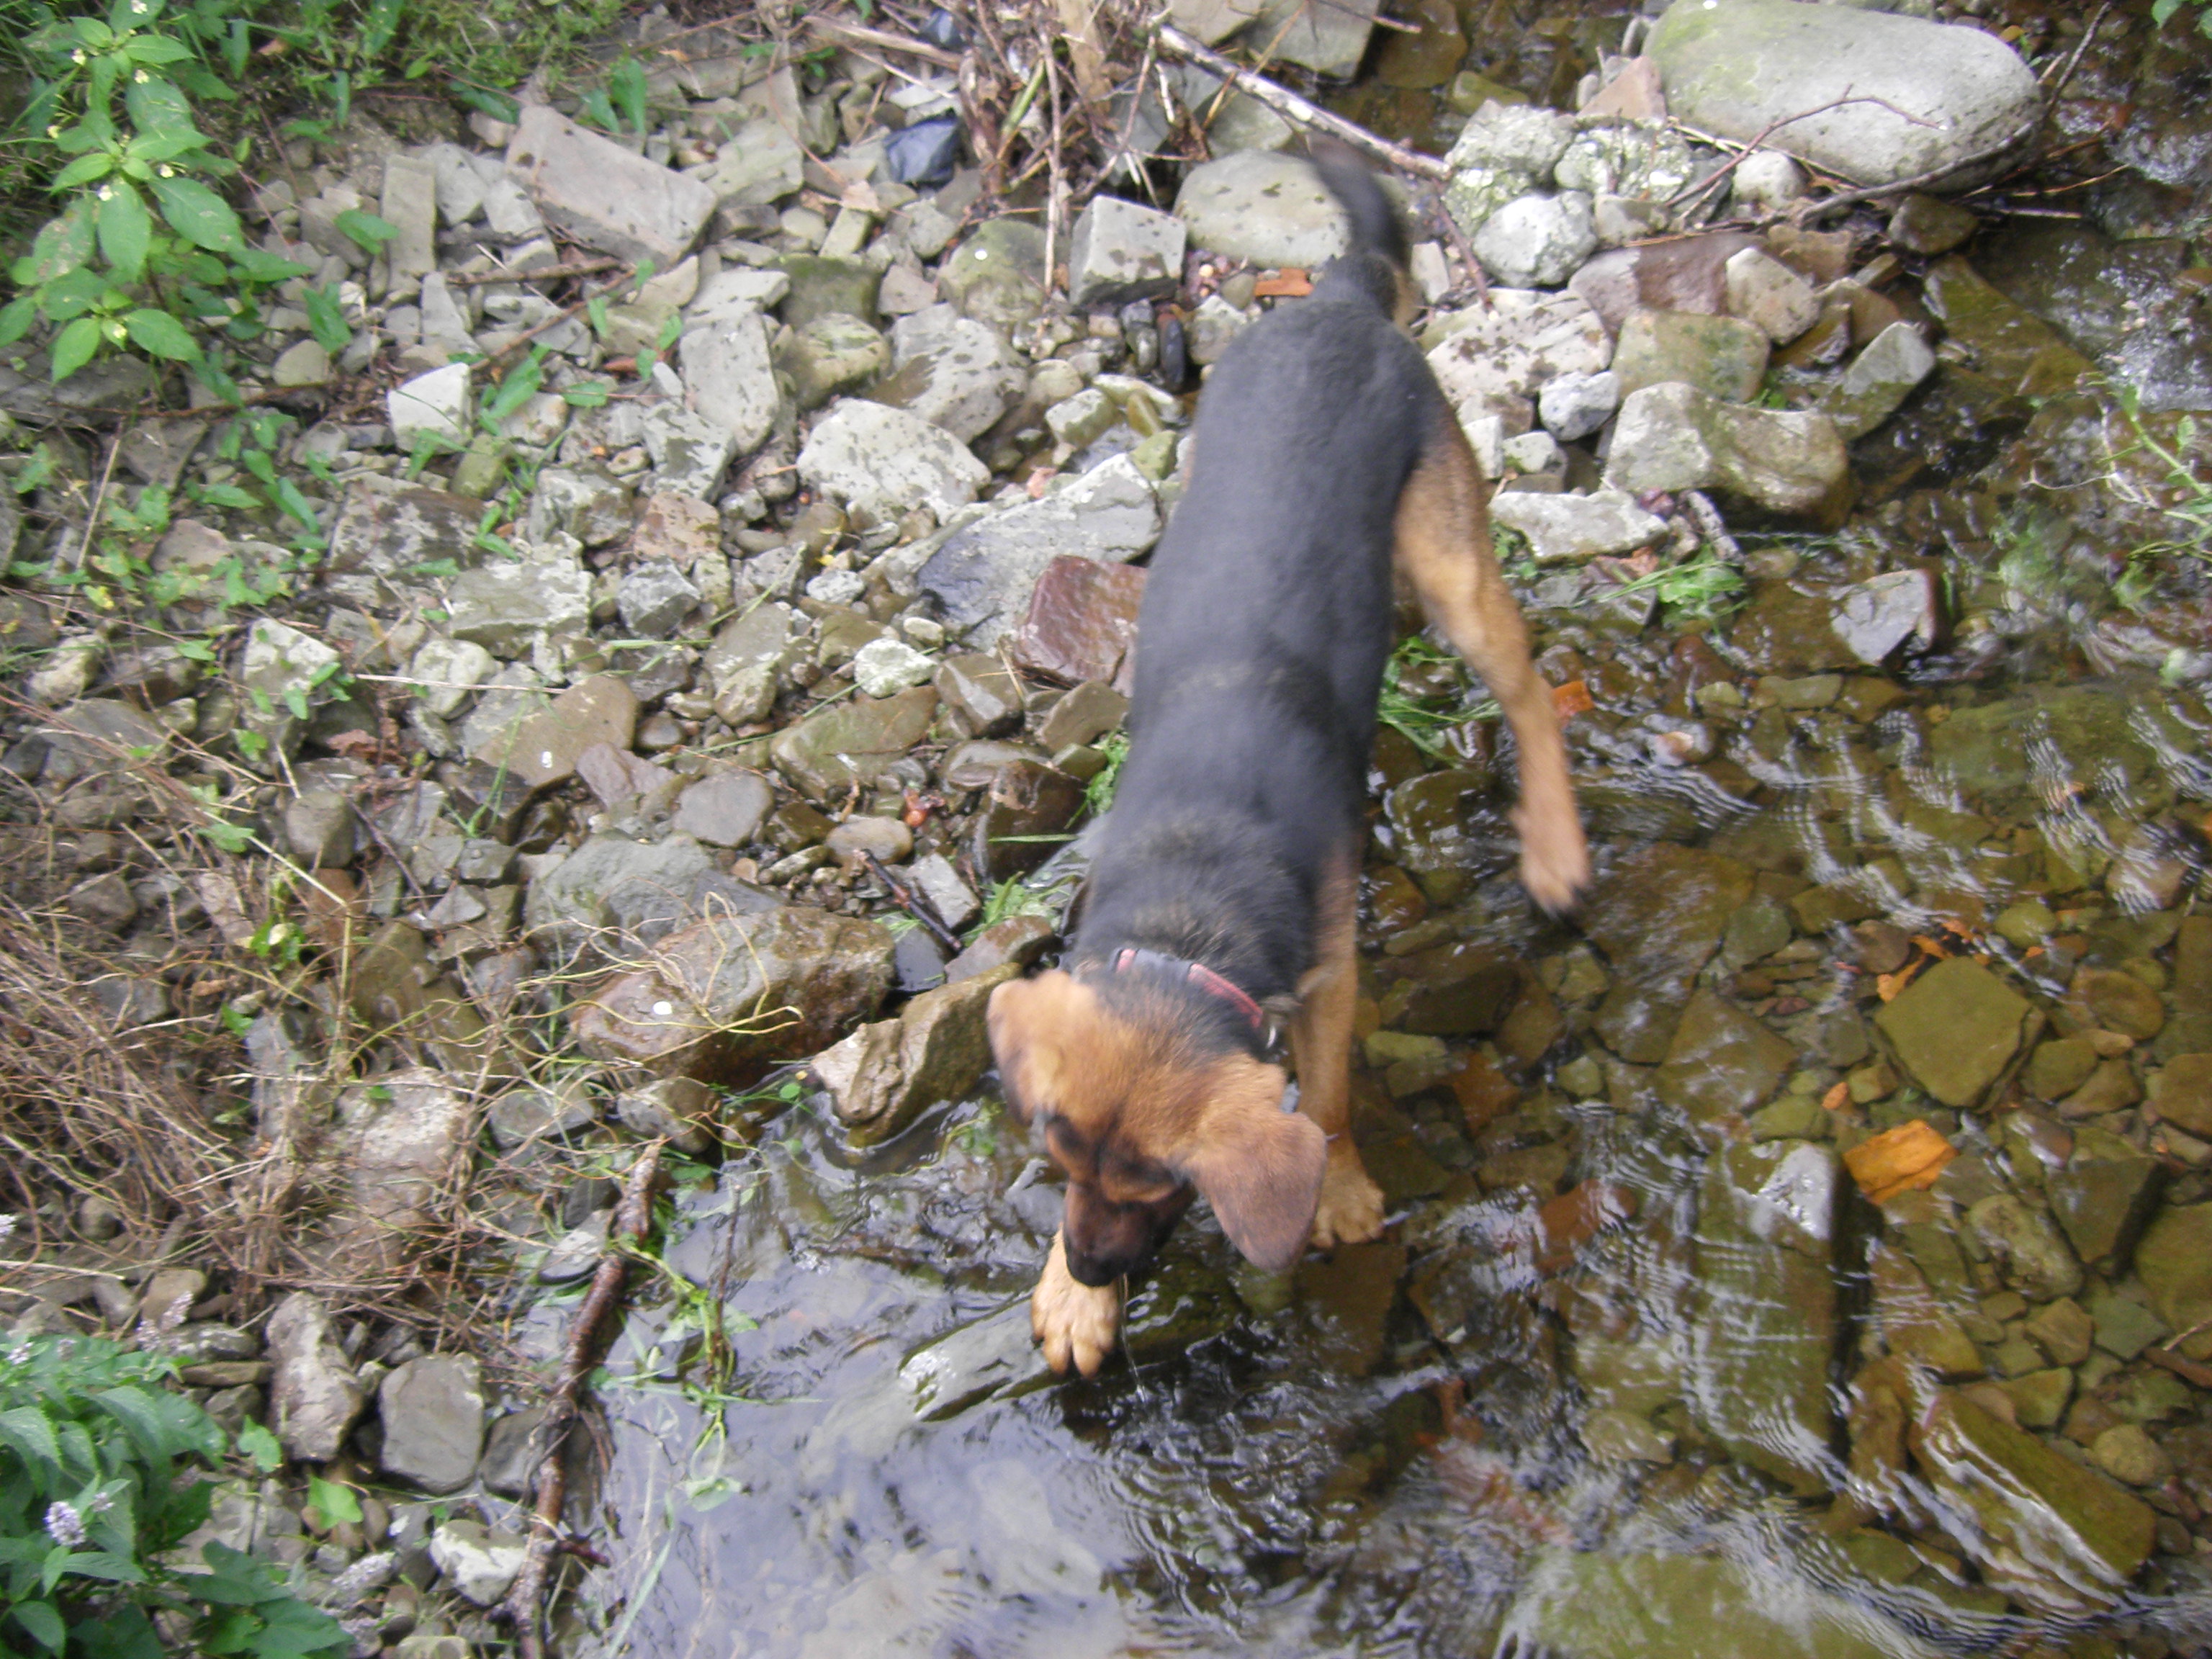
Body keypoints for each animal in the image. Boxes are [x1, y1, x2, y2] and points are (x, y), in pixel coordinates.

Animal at [991, 152, 1592, 1380]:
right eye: (1060, 1163)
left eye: (1165, 1191)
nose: (1093, 1269)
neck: (1190, 917)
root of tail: (1339, 298)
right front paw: (1065, 1299)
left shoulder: (1326, 978)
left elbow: (1324, 1101)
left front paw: (1343, 1194)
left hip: (1454, 562)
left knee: (1531, 698)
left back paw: (1555, 847)